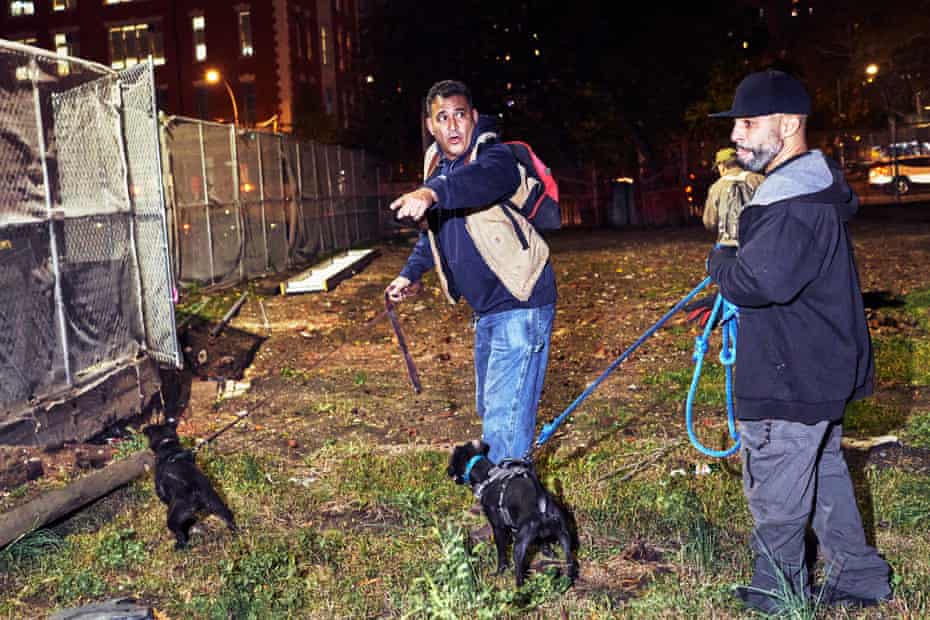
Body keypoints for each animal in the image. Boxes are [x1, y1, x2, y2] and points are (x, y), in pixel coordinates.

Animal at [448, 438, 576, 584]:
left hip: (519, 547)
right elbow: (544, 544)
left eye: (452, 460)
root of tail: (542, 504)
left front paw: (499, 571)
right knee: (570, 562)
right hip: (565, 536)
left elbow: (502, 554)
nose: (447, 470)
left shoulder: (498, 529)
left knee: (519, 573)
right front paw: (548, 553)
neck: (487, 476)